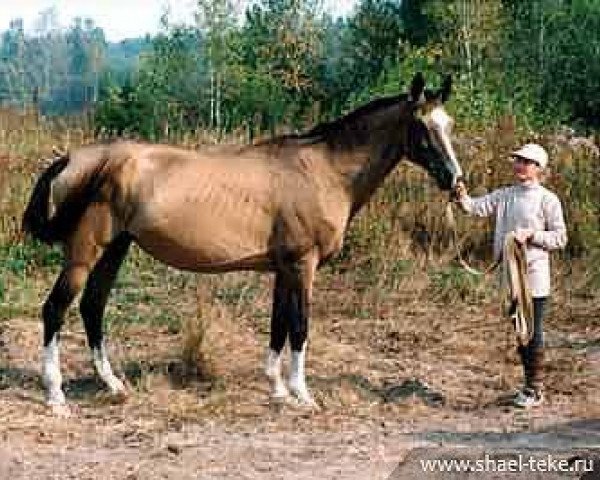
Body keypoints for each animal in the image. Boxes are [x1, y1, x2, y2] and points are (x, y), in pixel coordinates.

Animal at [22, 71, 464, 412]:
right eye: (423, 127)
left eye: (449, 125)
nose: (453, 179)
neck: (322, 171)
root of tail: (71, 159)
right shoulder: (303, 266)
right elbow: (300, 327)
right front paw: (303, 395)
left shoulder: (284, 269)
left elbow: (278, 326)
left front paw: (278, 389)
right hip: (85, 252)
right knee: (55, 309)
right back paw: (56, 396)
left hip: (115, 249)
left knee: (93, 308)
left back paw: (112, 384)